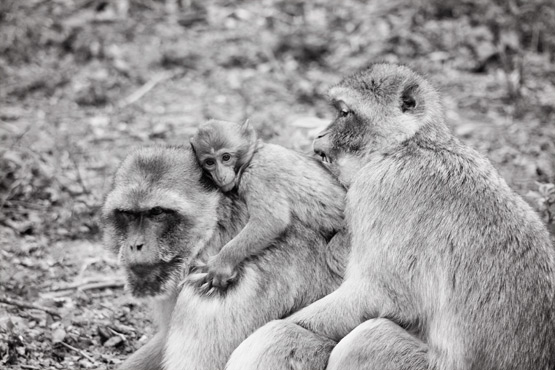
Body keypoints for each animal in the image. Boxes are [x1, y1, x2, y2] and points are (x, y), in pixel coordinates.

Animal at [192, 120, 348, 294]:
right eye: (210, 162)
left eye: (226, 157)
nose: (220, 175)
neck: (253, 155)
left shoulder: (257, 175)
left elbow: (270, 221)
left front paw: (222, 262)